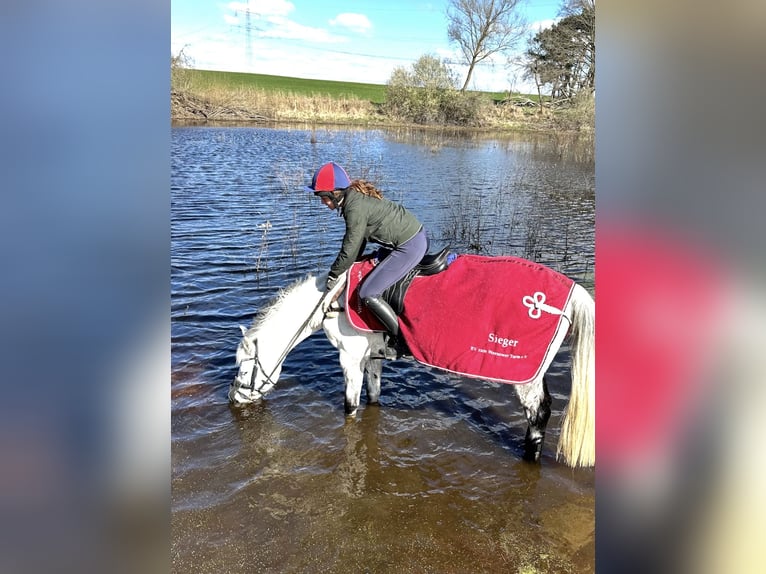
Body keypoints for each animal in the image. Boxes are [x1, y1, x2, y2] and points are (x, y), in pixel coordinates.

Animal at [229, 261, 595, 468]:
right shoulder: (371, 361)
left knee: (538, 415)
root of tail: (573, 292)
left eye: (245, 368)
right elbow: (373, 398)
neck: (332, 301)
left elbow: (350, 408)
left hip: (525, 376)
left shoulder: (350, 359)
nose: (233, 400)